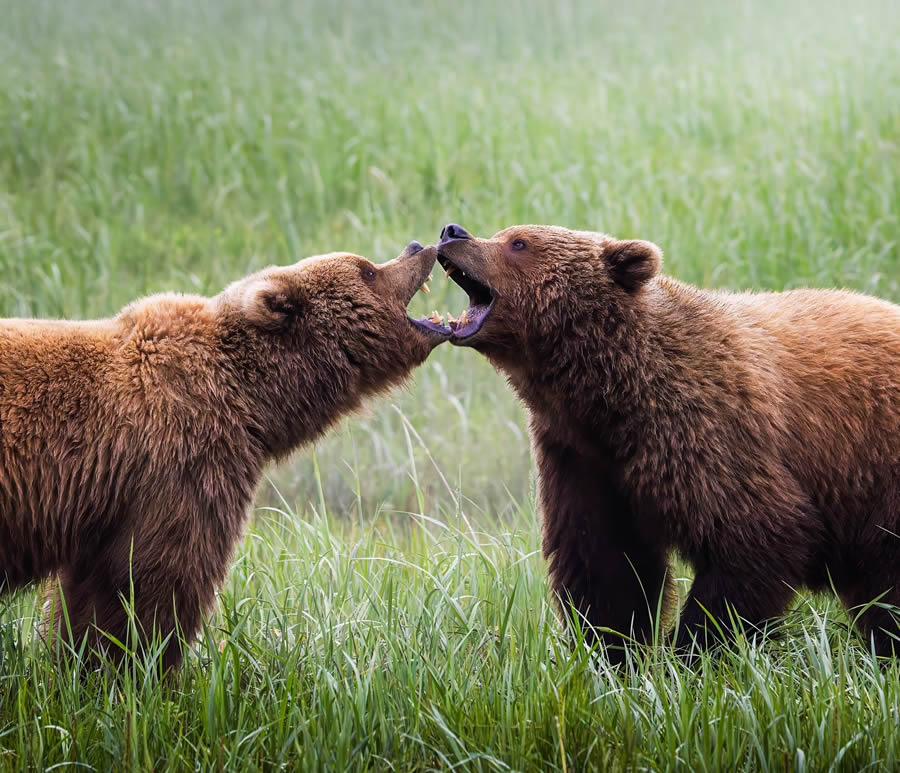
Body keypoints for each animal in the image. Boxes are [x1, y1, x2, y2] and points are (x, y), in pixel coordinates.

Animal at [0, 241, 448, 668]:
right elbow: (150, 582)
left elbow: (92, 594)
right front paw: (134, 668)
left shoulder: (110, 506)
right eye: (367, 270)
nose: (417, 246)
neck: (250, 397)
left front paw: (80, 664)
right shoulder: (179, 460)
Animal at [434, 223, 900, 664]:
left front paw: (693, 652)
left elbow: (756, 535)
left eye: (519, 242)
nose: (452, 232)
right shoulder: (579, 458)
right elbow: (605, 564)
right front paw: (614, 655)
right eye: (504, 234)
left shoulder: (706, 427)